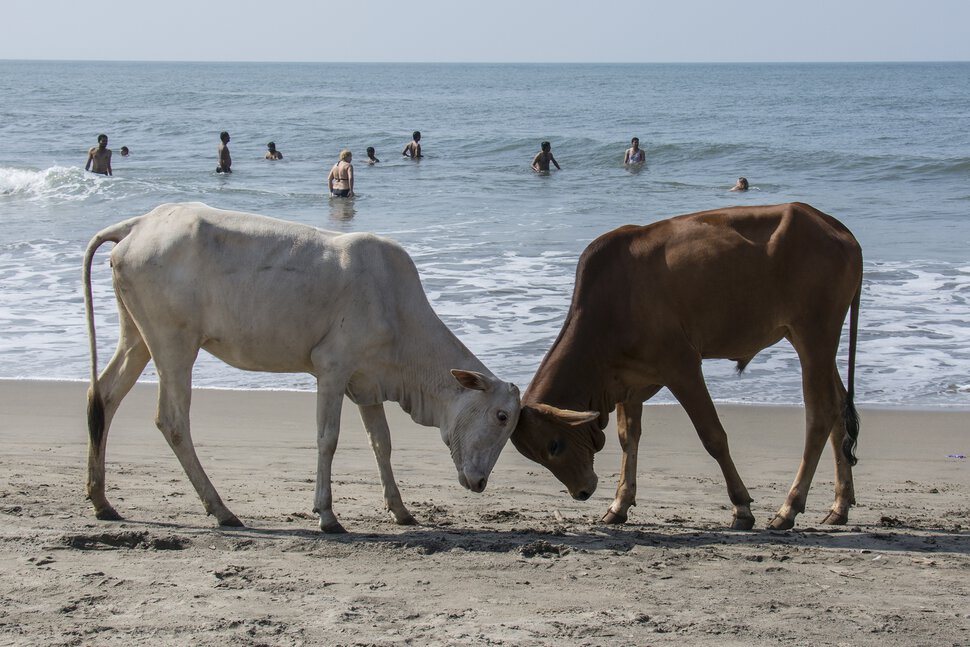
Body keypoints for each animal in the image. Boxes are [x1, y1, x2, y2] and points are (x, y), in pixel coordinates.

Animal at [84, 205, 520, 536]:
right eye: (501, 416)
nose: (480, 483)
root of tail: (139, 224)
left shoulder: (367, 384)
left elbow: (381, 443)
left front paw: (400, 510)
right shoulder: (332, 369)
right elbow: (328, 438)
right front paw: (328, 516)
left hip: (137, 335)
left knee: (104, 395)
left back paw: (102, 500)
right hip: (173, 343)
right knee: (172, 420)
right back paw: (222, 510)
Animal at [510, 204, 860, 532]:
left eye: (554, 445)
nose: (582, 492)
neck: (609, 306)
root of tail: (834, 226)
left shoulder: (682, 366)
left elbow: (713, 436)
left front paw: (741, 508)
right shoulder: (627, 381)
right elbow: (628, 438)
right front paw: (619, 504)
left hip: (814, 335)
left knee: (820, 414)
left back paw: (789, 508)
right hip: (810, 342)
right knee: (838, 407)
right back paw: (839, 506)